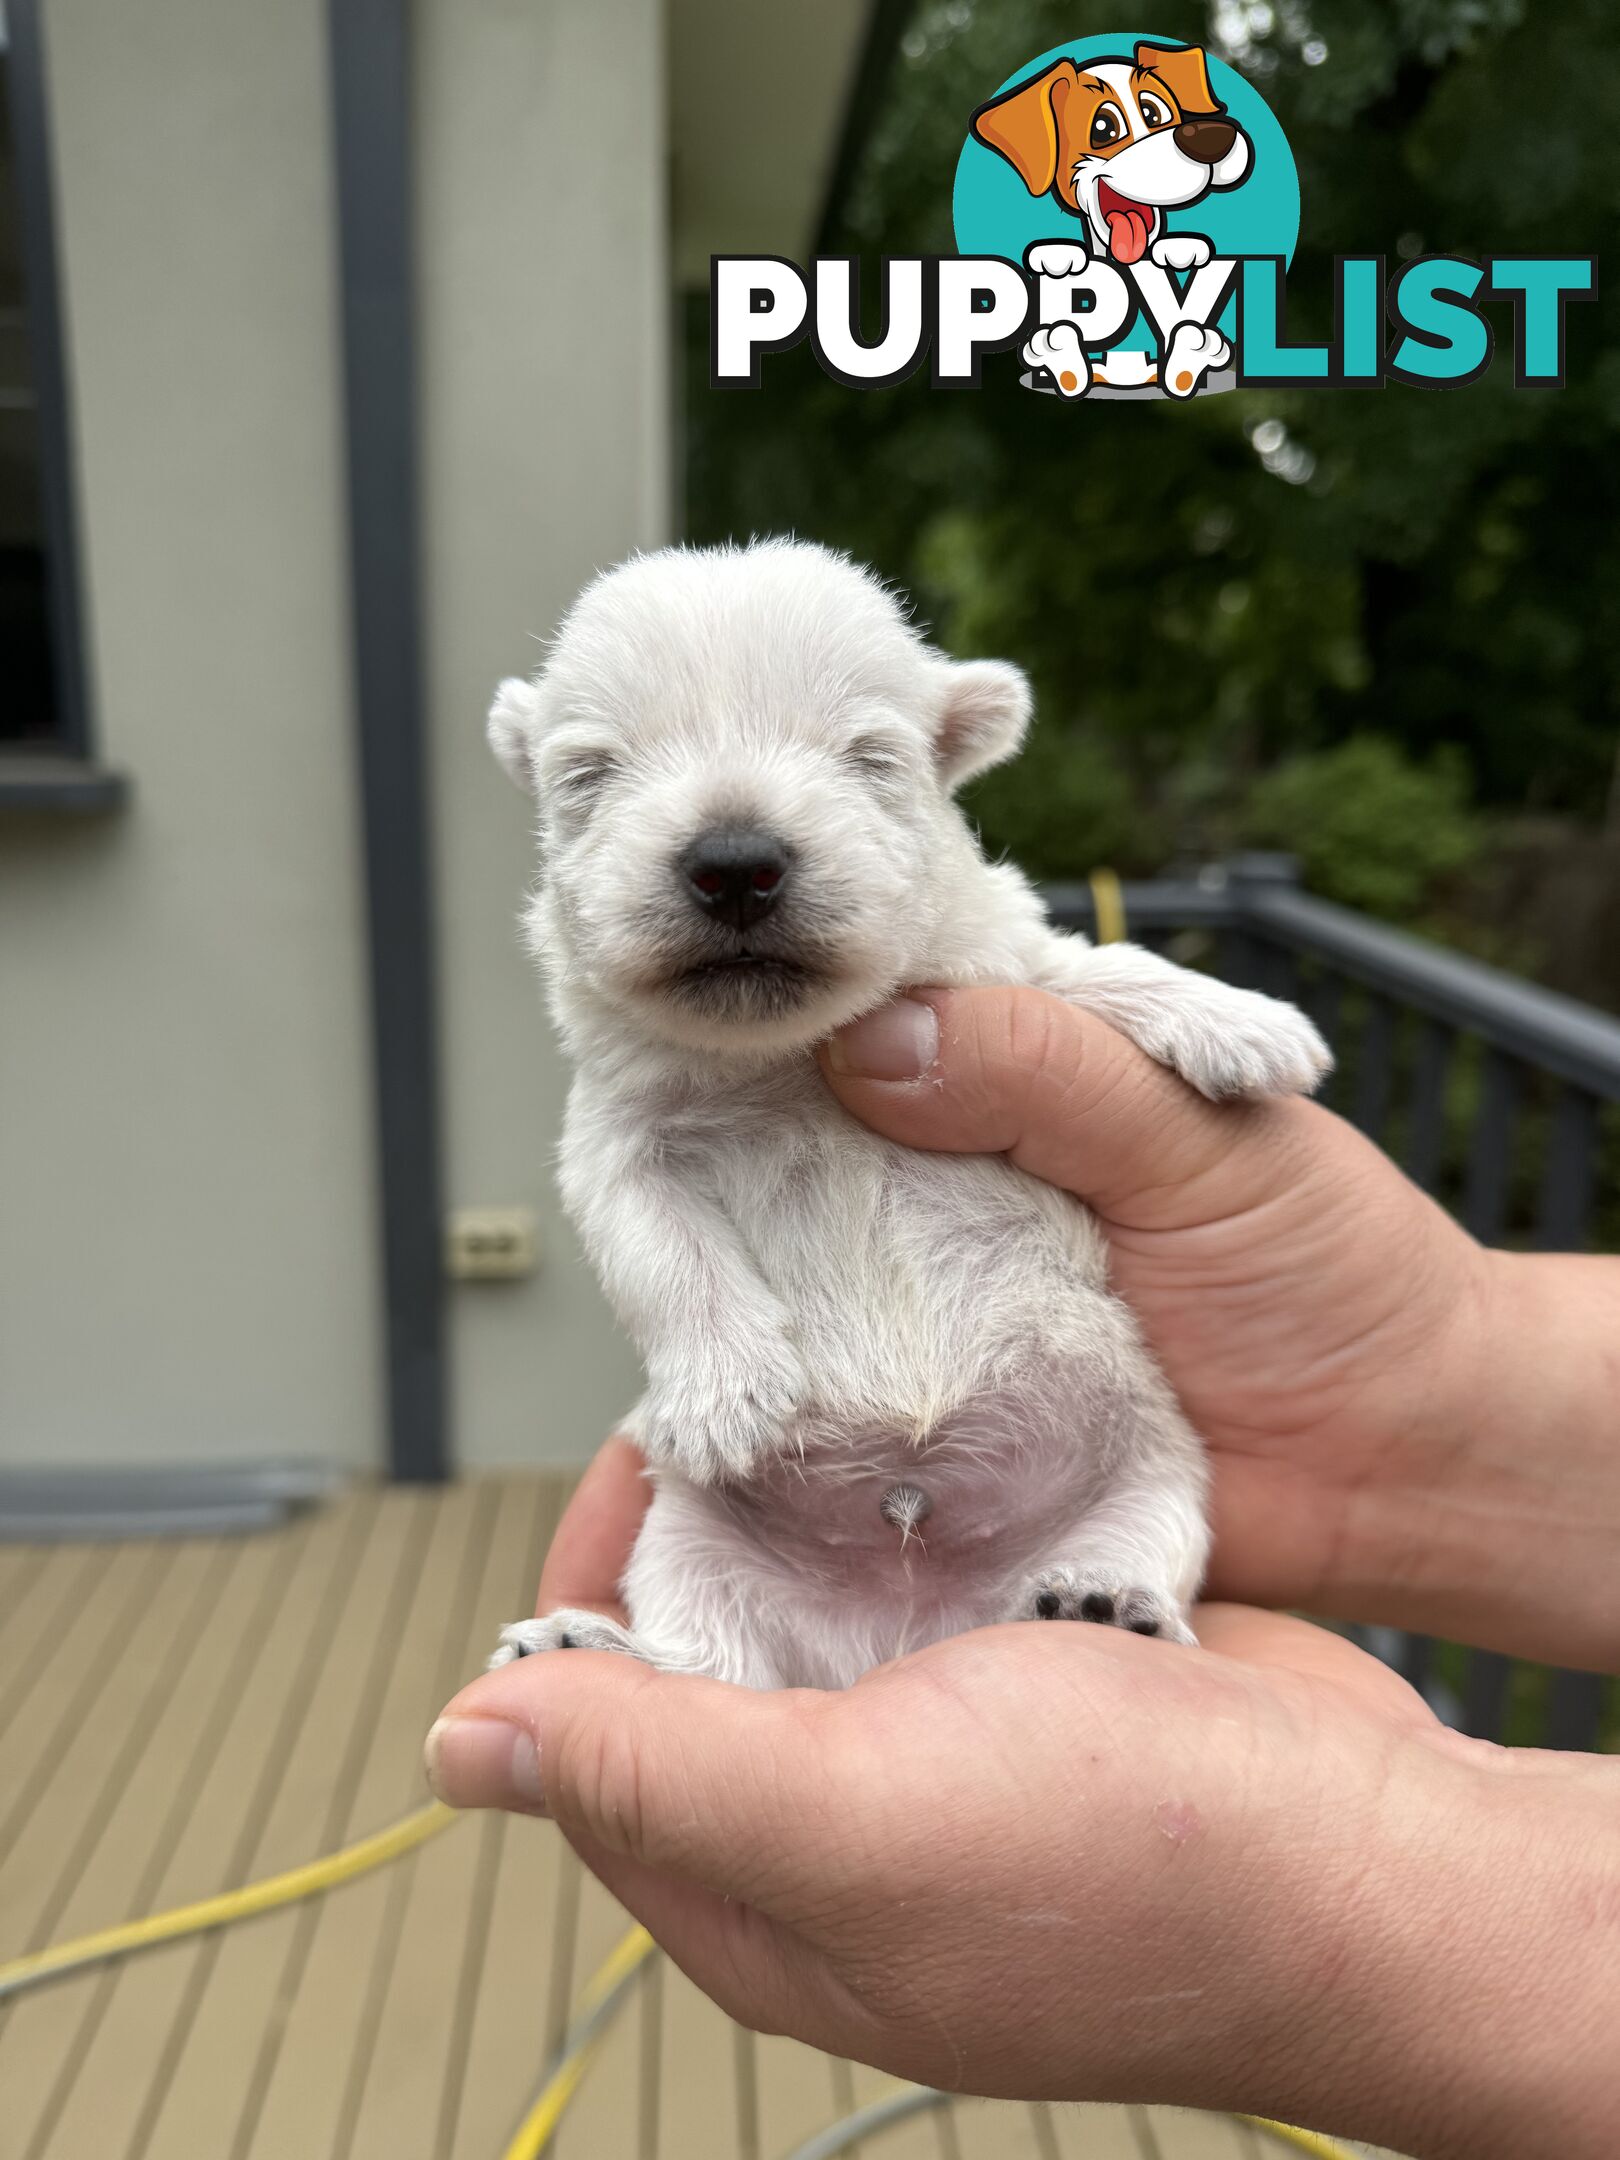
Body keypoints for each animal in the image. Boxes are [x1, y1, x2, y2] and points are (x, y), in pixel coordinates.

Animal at [486, 540, 1330, 1684]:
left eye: (870, 756)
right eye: (590, 774)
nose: (735, 862)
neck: (791, 1055)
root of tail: (905, 1622)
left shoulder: (996, 966)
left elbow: (1086, 968)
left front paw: (1244, 1020)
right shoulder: (615, 1126)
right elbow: (655, 1242)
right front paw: (725, 1399)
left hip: (1150, 1477)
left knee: (1141, 1541)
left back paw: (1108, 1603)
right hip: (692, 1540)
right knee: (714, 1654)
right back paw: (597, 1641)